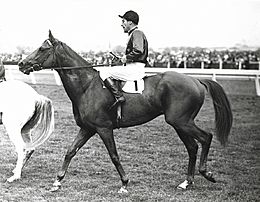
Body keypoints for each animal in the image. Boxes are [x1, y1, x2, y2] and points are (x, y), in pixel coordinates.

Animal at [19, 30, 233, 193]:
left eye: (43, 48)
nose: (21, 64)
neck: (87, 85)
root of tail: (196, 80)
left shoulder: (104, 128)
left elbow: (114, 155)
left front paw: (124, 183)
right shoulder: (87, 128)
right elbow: (70, 151)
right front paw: (57, 181)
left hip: (181, 122)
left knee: (205, 138)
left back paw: (206, 173)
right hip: (180, 123)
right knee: (192, 147)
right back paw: (187, 182)